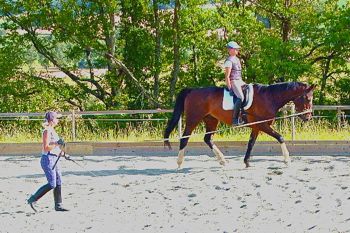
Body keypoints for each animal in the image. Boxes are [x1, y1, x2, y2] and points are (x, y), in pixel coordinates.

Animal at [163, 81, 314, 167]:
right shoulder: (263, 125)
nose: (308, 117)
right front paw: (287, 159)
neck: (269, 97)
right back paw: (179, 163)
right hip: (193, 119)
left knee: (207, 139)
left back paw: (222, 160)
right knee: (184, 139)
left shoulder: (256, 127)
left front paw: (246, 162)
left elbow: (251, 143)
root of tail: (192, 90)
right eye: (308, 98)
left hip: (211, 119)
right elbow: (280, 137)